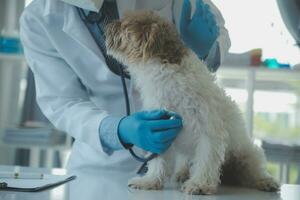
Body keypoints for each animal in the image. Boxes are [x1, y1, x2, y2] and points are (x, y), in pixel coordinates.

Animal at [105, 10, 278, 194]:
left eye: (124, 24)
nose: (108, 25)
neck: (167, 79)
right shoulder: (159, 129)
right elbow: (158, 161)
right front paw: (150, 181)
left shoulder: (209, 131)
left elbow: (205, 160)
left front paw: (199, 185)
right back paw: (182, 173)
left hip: (247, 155)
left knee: (253, 171)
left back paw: (265, 181)